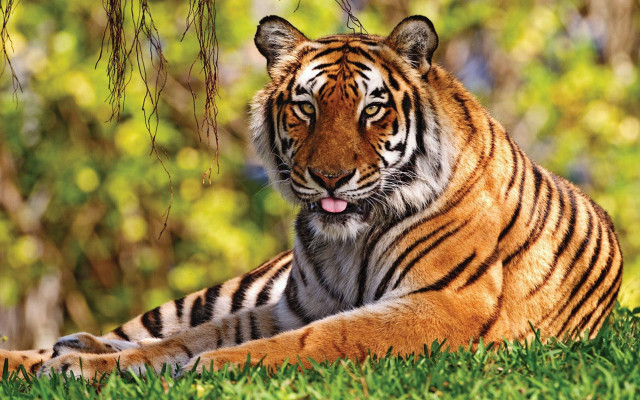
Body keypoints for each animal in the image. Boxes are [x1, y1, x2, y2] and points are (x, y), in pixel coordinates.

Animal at [0, 15, 623, 379]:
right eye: (306, 107)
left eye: (372, 109)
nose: (330, 178)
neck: (347, 242)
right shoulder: (289, 305)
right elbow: (184, 339)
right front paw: (85, 366)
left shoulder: (443, 304)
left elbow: (319, 339)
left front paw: (206, 368)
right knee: (138, 330)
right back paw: (56, 351)